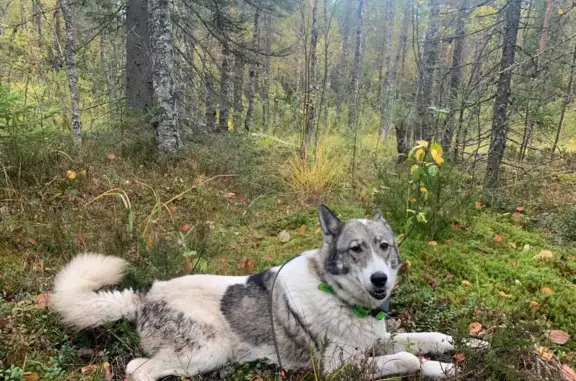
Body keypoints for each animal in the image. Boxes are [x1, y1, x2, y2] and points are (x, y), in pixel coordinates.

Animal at [50, 205, 486, 380]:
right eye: (355, 249)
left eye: (384, 246)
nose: (380, 280)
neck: (340, 296)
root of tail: (142, 296)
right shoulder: (338, 367)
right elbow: (408, 359)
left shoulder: (376, 341)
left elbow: (423, 341)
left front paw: (457, 353)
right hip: (209, 349)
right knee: (138, 370)